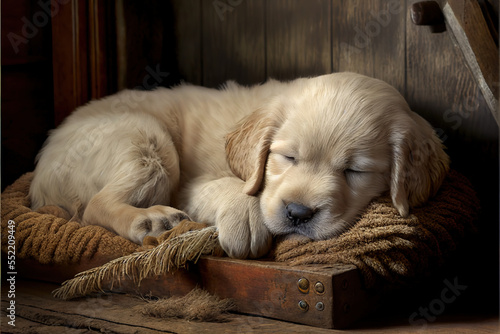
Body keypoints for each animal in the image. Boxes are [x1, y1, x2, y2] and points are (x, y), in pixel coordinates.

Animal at [28, 72, 450, 258]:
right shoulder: (191, 183)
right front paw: (246, 218)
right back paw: (149, 219)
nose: (297, 213)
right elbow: (235, 185)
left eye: (355, 171)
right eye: (287, 157)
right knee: (94, 206)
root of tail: (42, 168)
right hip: (147, 139)